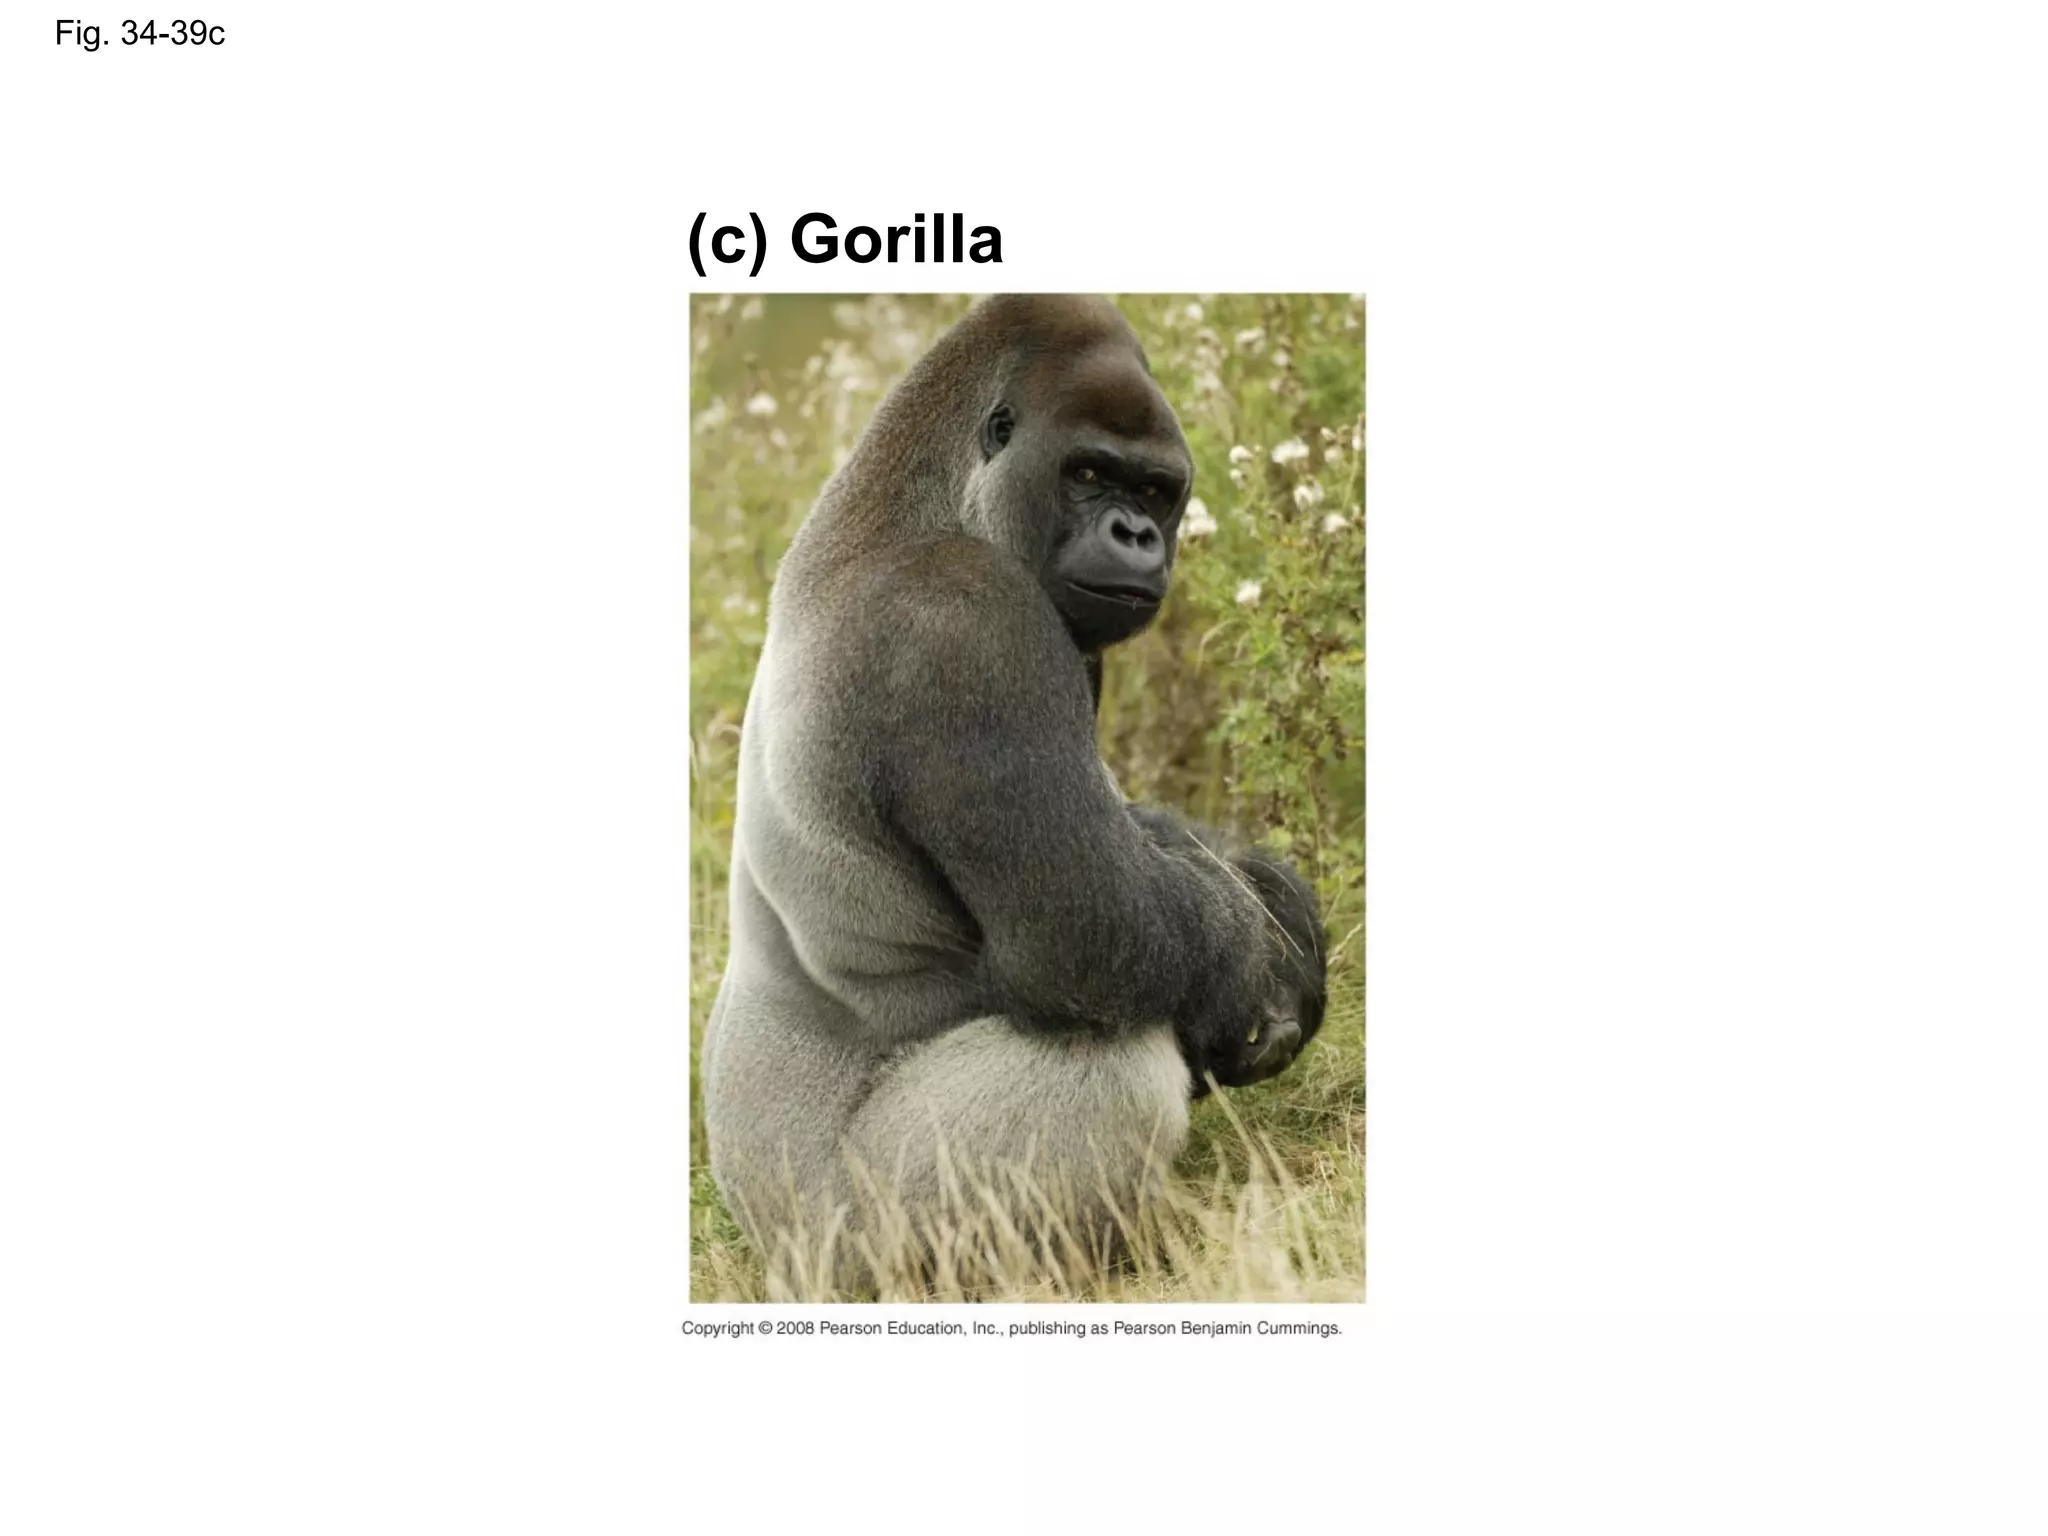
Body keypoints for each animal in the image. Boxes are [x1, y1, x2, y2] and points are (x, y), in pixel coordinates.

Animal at [700, 295, 1325, 1289]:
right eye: (1088, 473)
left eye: (1155, 491)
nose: (1136, 536)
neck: (927, 499)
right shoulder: (970, 621)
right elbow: (1092, 935)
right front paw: (1267, 957)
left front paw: (1260, 888)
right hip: (856, 1239)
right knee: (1115, 1064)